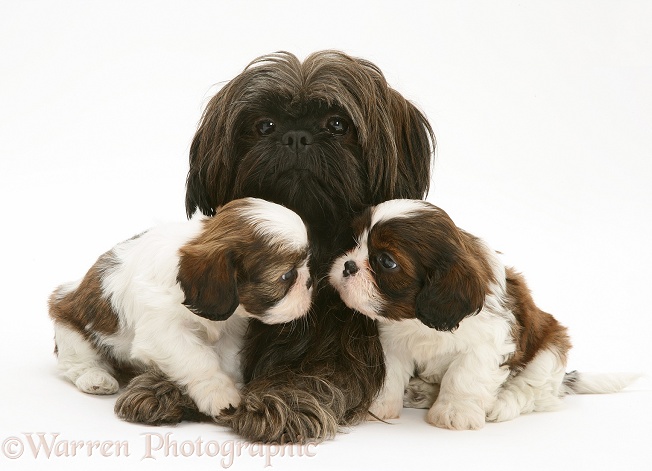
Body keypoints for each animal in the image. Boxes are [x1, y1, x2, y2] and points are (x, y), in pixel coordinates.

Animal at [49, 197, 314, 418]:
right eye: (287, 276)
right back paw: (95, 378)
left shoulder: (230, 330)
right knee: (75, 362)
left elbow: (227, 358)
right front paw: (218, 393)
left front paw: (233, 384)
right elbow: (198, 359)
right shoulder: (164, 331)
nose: (310, 281)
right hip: (71, 330)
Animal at [118, 50, 432, 442]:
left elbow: (318, 372)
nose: (296, 136)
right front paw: (167, 384)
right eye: (265, 125)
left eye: (338, 124)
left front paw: (281, 397)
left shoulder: (345, 342)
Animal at [332, 200, 636, 432]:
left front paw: (455, 412)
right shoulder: (392, 344)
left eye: (386, 261)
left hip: (551, 348)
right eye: (355, 242)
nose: (348, 266)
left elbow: (463, 376)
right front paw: (378, 407)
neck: (420, 320)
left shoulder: (486, 344)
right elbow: (389, 375)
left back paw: (501, 404)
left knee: (532, 391)